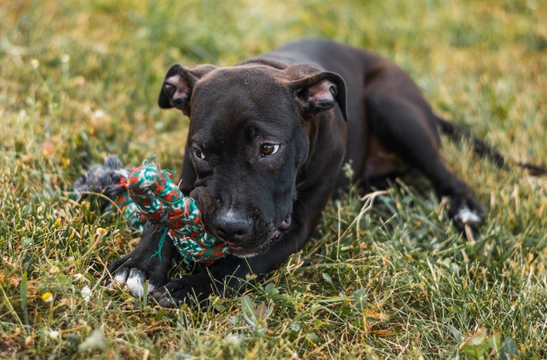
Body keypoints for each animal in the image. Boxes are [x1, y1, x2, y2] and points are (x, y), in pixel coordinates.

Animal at [109, 40, 524, 306]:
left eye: (269, 148)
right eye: (200, 152)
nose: (229, 227)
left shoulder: (297, 226)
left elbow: (241, 265)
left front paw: (191, 286)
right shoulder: (186, 177)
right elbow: (162, 217)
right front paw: (139, 266)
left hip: (396, 109)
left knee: (444, 171)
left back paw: (463, 207)